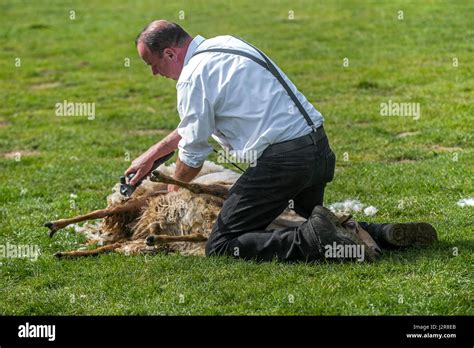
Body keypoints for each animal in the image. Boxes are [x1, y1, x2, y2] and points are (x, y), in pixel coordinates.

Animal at [45, 160, 382, 260]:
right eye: (353, 226)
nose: (377, 251)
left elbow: (200, 238)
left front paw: (160, 238)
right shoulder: (221, 194)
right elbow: (202, 189)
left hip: (137, 228)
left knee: (112, 245)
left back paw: (69, 252)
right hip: (141, 204)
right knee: (99, 216)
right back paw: (57, 226)